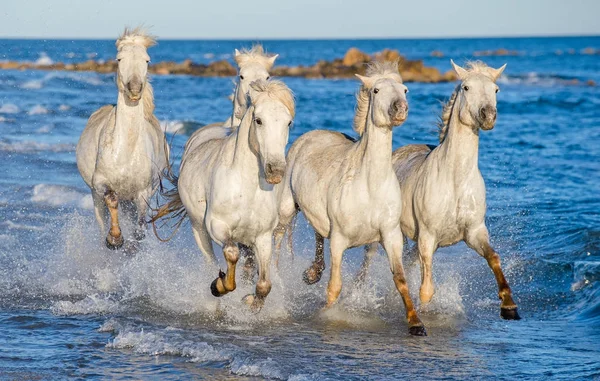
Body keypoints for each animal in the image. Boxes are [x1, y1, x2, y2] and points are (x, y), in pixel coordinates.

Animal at [77, 27, 169, 249]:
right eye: (119, 59)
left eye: (147, 60)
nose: (134, 89)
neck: (126, 153)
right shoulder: (101, 183)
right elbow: (112, 199)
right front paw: (115, 239)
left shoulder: (143, 192)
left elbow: (140, 225)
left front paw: (131, 245)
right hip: (95, 197)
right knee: (103, 217)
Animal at [152, 78, 296, 310]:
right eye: (258, 120)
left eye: (288, 122)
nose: (276, 171)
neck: (246, 189)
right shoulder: (217, 226)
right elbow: (231, 254)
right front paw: (219, 286)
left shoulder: (263, 237)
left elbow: (264, 283)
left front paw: (251, 301)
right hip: (199, 229)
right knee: (211, 260)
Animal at [276, 60, 426, 334]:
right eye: (376, 90)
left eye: (405, 89)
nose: (400, 108)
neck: (369, 186)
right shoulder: (339, 241)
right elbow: (334, 287)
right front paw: (324, 315)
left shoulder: (391, 237)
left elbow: (400, 280)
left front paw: (416, 324)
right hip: (287, 209)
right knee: (278, 240)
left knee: (318, 232)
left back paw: (312, 273)